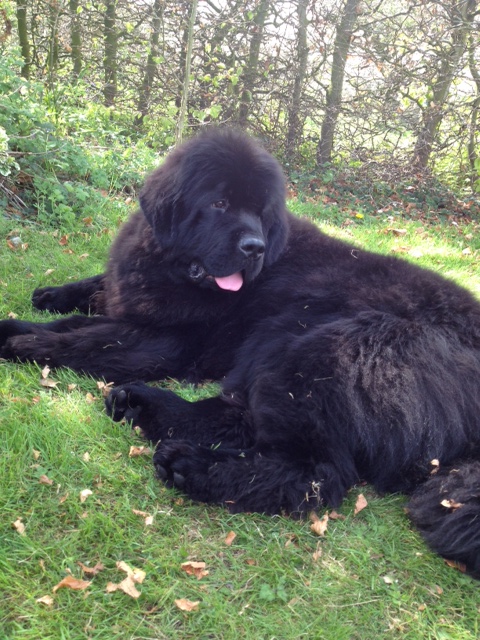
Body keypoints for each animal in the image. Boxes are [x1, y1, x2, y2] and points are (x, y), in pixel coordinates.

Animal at [0, 129, 480, 576]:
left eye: (260, 213)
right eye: (219, 203)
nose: (255, 248)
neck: (174, 268)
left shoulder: (170, 338)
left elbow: (87, 338)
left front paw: (23, 340)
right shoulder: (130, 291)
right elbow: (94, 292)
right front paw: (45, 298)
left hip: (312, 342)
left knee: (315, 471)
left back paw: (190, 463)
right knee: (239, 415)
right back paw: (140, 405)